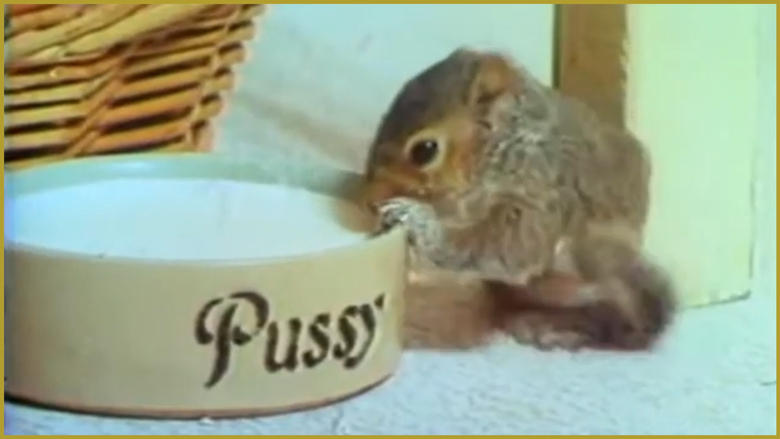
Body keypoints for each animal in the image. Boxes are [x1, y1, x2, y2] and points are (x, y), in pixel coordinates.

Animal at [363, 48, 676, 351]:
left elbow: (505, 248)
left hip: (598, 265)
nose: (370, 196)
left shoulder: (541, 189)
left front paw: (412, 216)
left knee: (618, 319)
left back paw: (562, 329)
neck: (503, 146)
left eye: (425, 150)